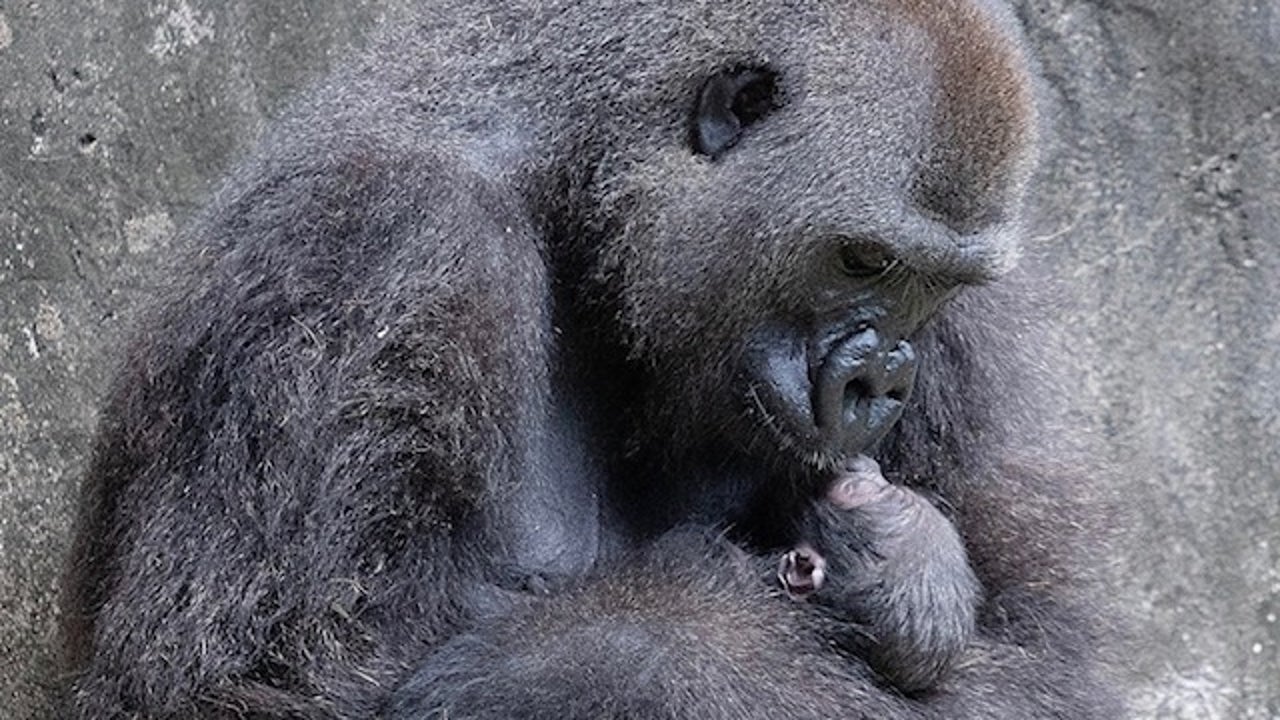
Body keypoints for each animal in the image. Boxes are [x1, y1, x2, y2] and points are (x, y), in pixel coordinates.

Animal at [59, 1, 1123, 718]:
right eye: (862, 259)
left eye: (935, 287)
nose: (881, 379)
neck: (580, 172)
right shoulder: (374, 238)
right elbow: (259, 681)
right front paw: (679, 648)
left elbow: (1036, 656)